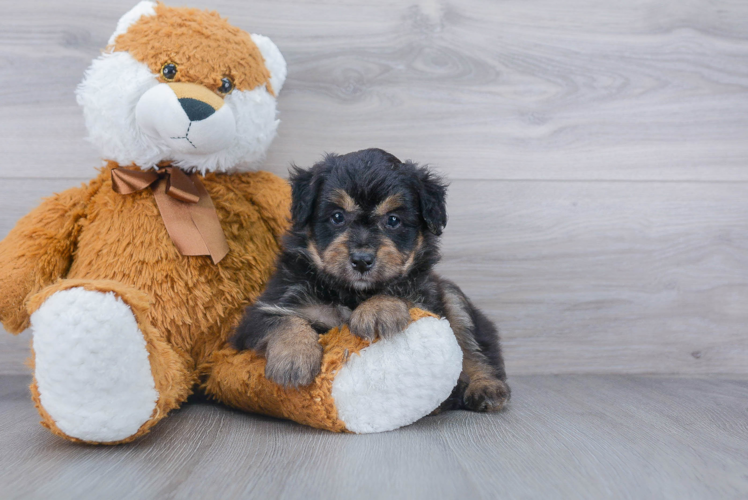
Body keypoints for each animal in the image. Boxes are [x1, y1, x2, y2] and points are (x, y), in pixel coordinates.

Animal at [231, 147, 512, 410]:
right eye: (337, 217)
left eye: (393, 220)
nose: (362, 260)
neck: (351, 293)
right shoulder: (260, 312)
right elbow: (284, 321)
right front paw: (293, 358)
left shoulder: (427, 300)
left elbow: (398, 290)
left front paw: (378, 309)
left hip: (453, 296)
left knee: (475, 351)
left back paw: (485, 387)